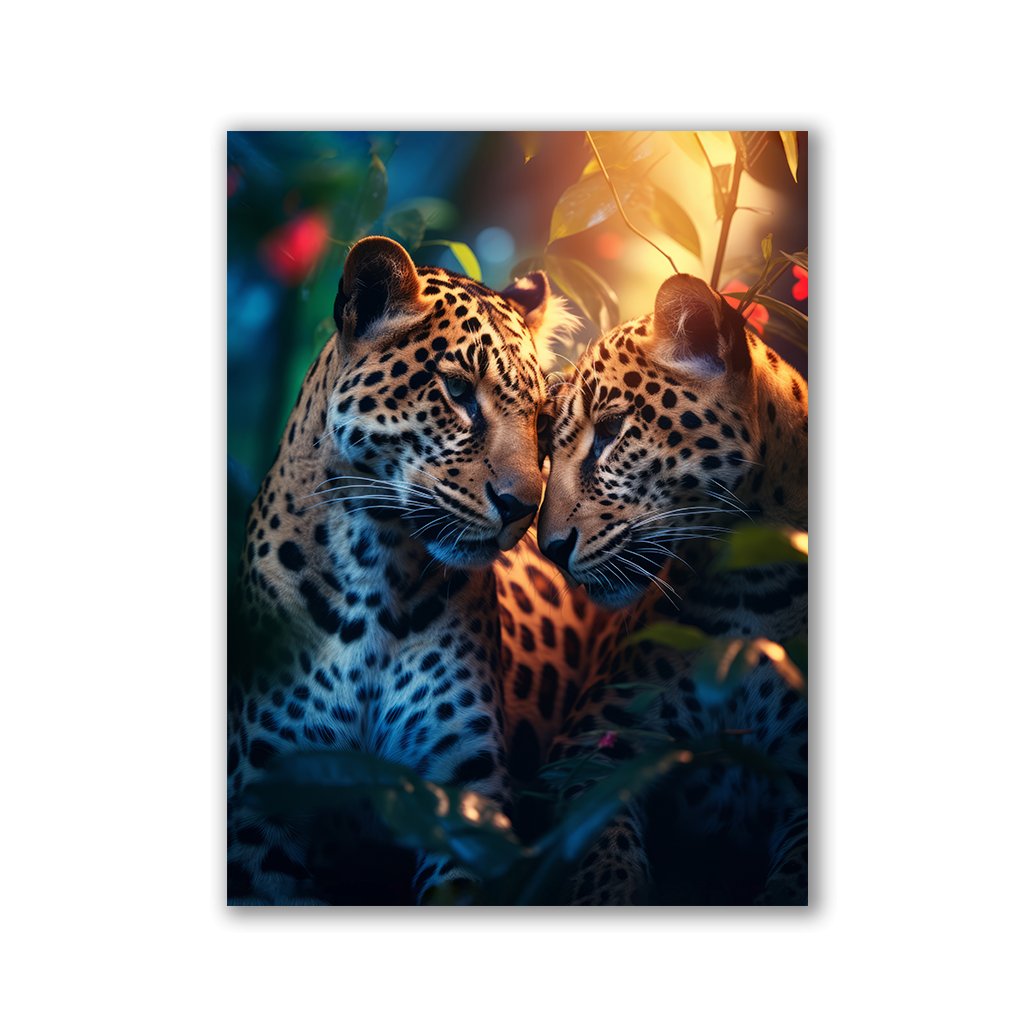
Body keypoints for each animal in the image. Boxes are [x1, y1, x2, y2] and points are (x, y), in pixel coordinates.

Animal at [227, 235, 578, 905]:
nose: (523, 508)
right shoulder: (263, 805)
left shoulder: (464, 791)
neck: (376, 565)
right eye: (459, 393)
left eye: (545, 423)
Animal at [523, 271, 809, 905]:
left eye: (611, 433)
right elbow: (602, 851)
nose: (549, 548)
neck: (756, 582)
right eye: (548, 447)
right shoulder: (588, 748)